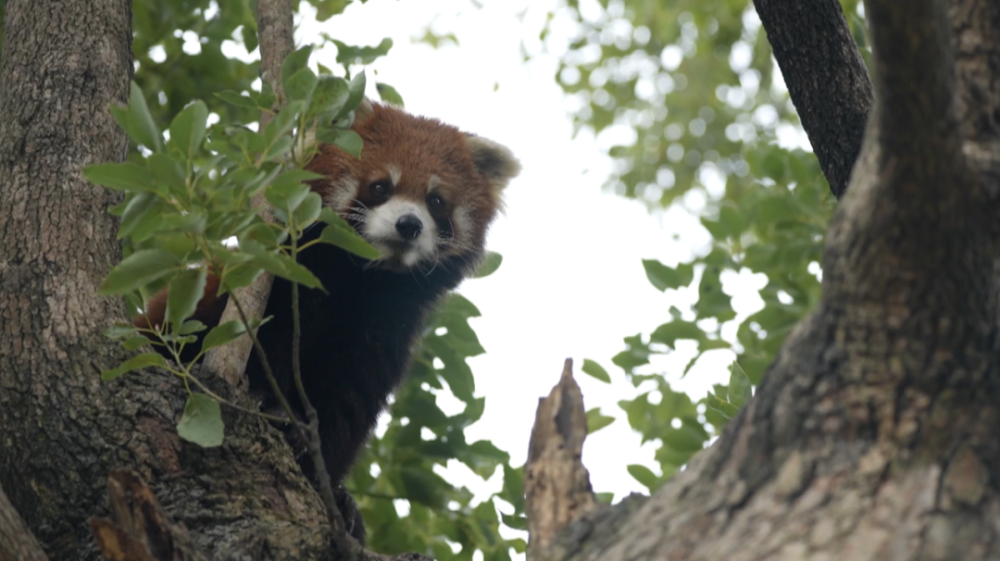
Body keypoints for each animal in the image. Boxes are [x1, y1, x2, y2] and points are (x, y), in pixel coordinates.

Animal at [133, 99, 520, 540]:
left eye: (436, 200)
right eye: (380, 186)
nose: (409, 224)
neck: (358, 280)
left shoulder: (382, 330)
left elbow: (350, 404)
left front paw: (332, 488)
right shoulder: (282, 282)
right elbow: (267, 344)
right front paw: (270, 405)